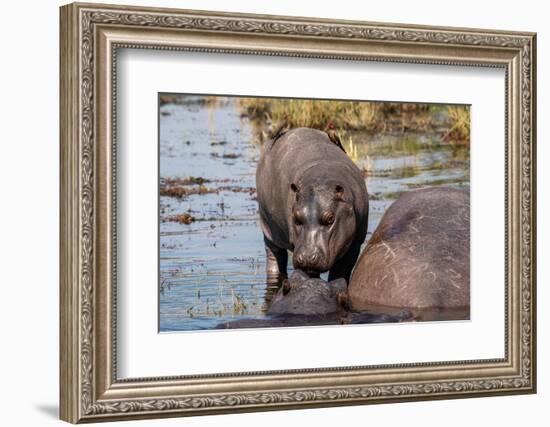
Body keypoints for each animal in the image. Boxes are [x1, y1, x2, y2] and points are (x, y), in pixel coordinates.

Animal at [256, 128, 368, 280]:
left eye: (330, 218)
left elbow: (340, 272)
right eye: (296, 218)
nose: (307, 257)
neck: (321, 179)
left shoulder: (355, 245)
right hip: (269, 229)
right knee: (274, 255)